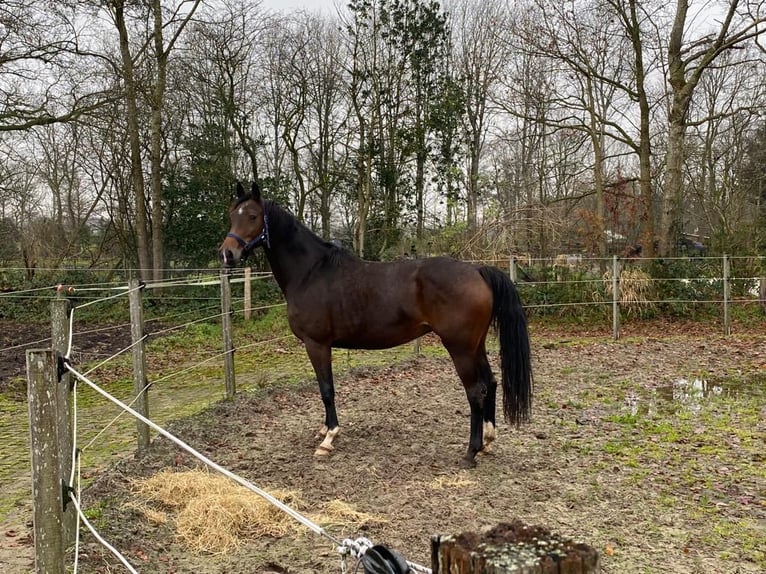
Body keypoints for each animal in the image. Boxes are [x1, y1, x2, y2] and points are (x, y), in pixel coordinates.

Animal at [222, 183, 536, 468]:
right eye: (232, 215)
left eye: (252, 216)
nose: (227, 254)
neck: (311, 272)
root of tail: (477, 270)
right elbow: (325, 389)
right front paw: (324, 430)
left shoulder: (317, 344)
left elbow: (326, 389)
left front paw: (329, 438)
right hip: (475, 345)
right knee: (491, 382)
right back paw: (487, 443)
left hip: (459, 348)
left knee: (475, 391)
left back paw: (470, 453)